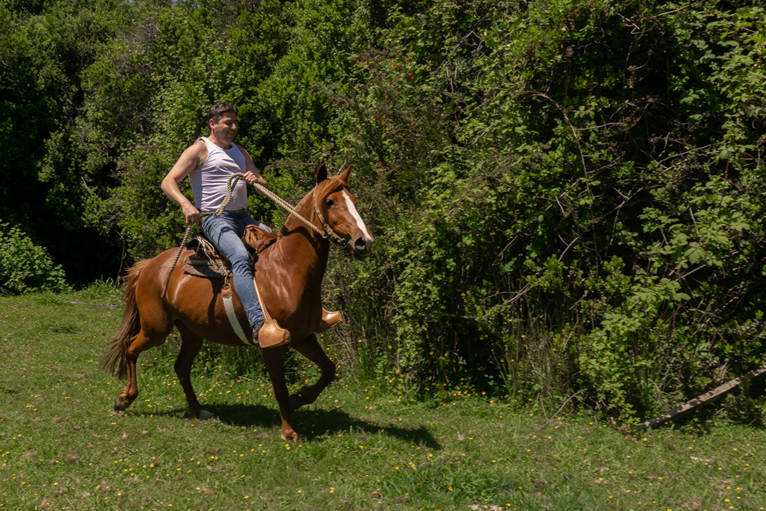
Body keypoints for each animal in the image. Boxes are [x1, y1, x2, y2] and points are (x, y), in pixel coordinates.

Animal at [101, 164, 374, 441]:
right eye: (330, 201)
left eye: (354, 201)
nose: (364, 242)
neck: (287, 269)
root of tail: (149, 266)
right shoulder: (272, 345)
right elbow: (280, 388)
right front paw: (289, 431)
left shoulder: (303, 336)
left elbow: (329, 369)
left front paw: (300, 398)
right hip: (156, 328)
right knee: (130, 348)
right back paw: (124, 400)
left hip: (191, 332)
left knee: (181, 367)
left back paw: (198, 410)